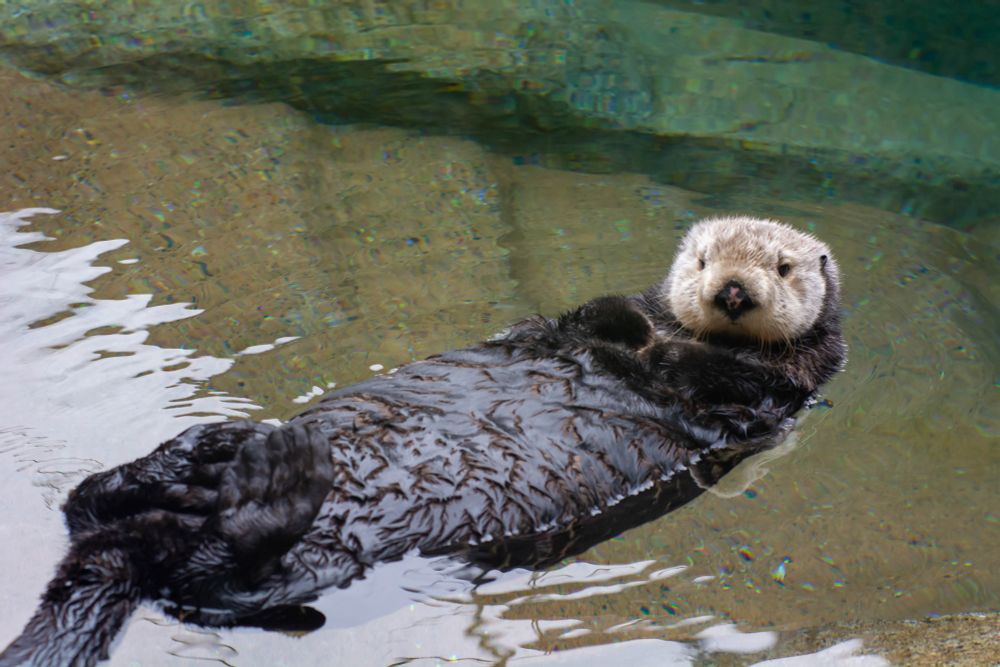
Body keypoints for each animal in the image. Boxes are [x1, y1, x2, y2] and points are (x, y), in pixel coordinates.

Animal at [0, 216, 845, 667]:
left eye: (782, 266)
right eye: (703, 258)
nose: (729, 291)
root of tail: (138, 542)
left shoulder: (762, 402)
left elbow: (719, 381)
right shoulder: (581, 324)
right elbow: (592, 316)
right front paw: (626, 320)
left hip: (310, 570)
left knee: (229, 583)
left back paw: (271, 475)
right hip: (165, 529)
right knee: (92, 502)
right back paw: (212, 447)